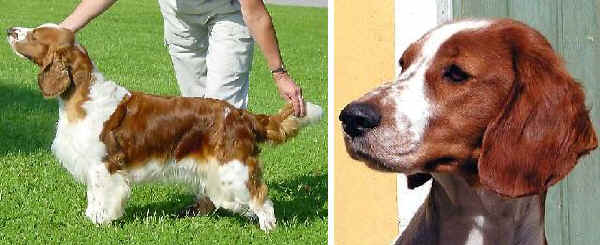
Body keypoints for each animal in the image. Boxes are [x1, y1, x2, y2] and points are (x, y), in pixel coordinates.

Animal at [5, 23, 324, 232]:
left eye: (35, 34)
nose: (9, 30)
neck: (82, 94)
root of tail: (241, 115)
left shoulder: (104, 166)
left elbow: (102, 196)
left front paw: (100, 221)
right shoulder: (94, 165)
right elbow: (93, 197)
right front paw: (91, 217)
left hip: (233, 169)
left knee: (262, 198)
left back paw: (268, 228)